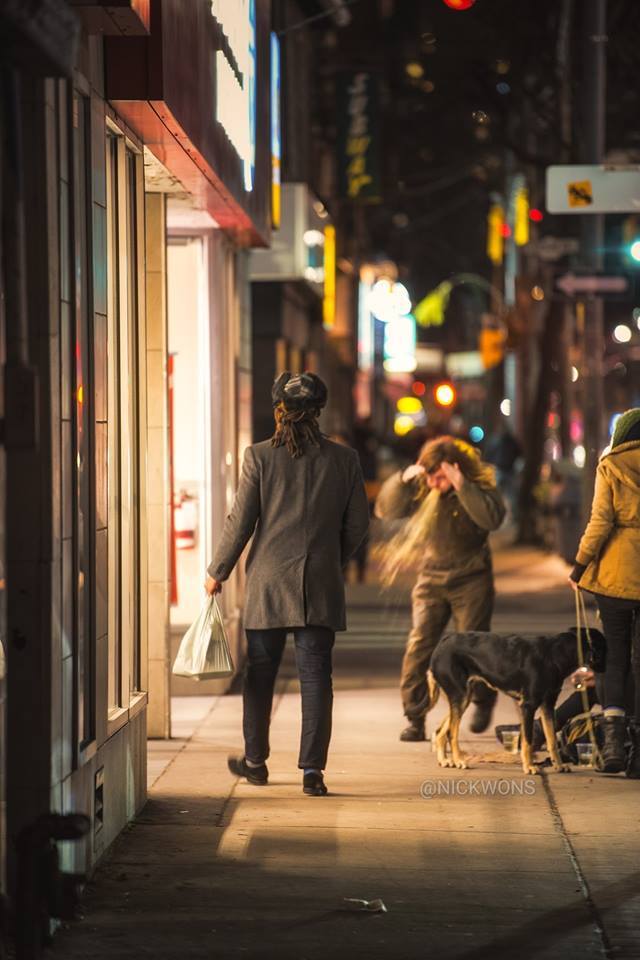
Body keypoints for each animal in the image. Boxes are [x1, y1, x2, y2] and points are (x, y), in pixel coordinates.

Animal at [428, 628, 604, 776]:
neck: (553, 655)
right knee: (451, 733)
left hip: (464, 697)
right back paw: (459, 760)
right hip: (461, 696)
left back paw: (445, 760)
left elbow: (552, 740)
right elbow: (527, 741)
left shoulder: (548, 705)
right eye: (604, 646)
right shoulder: (528, 706)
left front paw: (558, 765)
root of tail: (442, 643)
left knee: (440, 731)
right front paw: (529, 767)